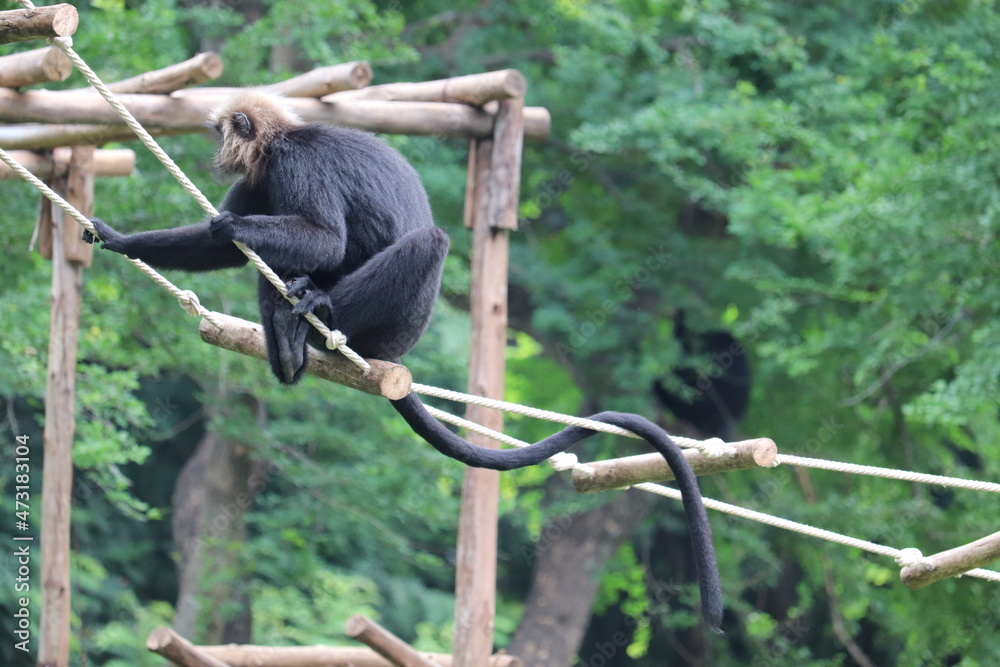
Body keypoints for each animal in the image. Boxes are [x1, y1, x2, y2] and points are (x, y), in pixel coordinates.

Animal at [83, 91, 723, 628]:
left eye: (221, 132)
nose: (217, 150)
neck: (280, 144)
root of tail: (394, 357)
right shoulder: (264, 178)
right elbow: (225, 248)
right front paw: (120, 240)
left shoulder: (291, 165)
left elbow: (321, 239)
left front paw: (234, 226)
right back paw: (288, 349)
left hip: (394, 328)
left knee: (422, 244)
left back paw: (315, 315)